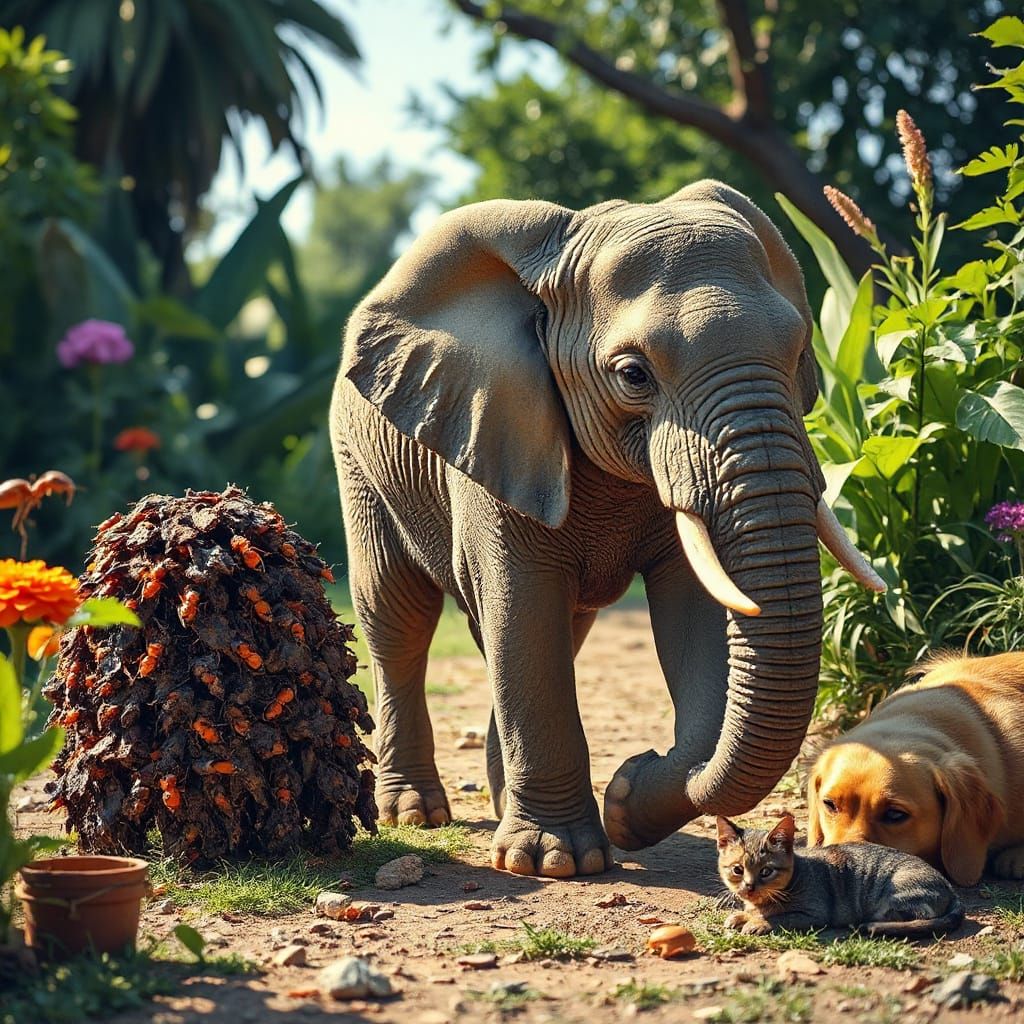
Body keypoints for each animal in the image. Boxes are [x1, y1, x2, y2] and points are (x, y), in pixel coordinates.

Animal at [329, 179, 883, 879]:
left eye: (797, 351)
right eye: (633, 375)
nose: (633, 771)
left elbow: (697, 618)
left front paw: (626, 806)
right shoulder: (501, 426)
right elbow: (523, 604)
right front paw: (553, 862)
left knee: (551, 631)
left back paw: (504, 800)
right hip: (357, 458)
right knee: (397, 614)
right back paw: (414, 814)